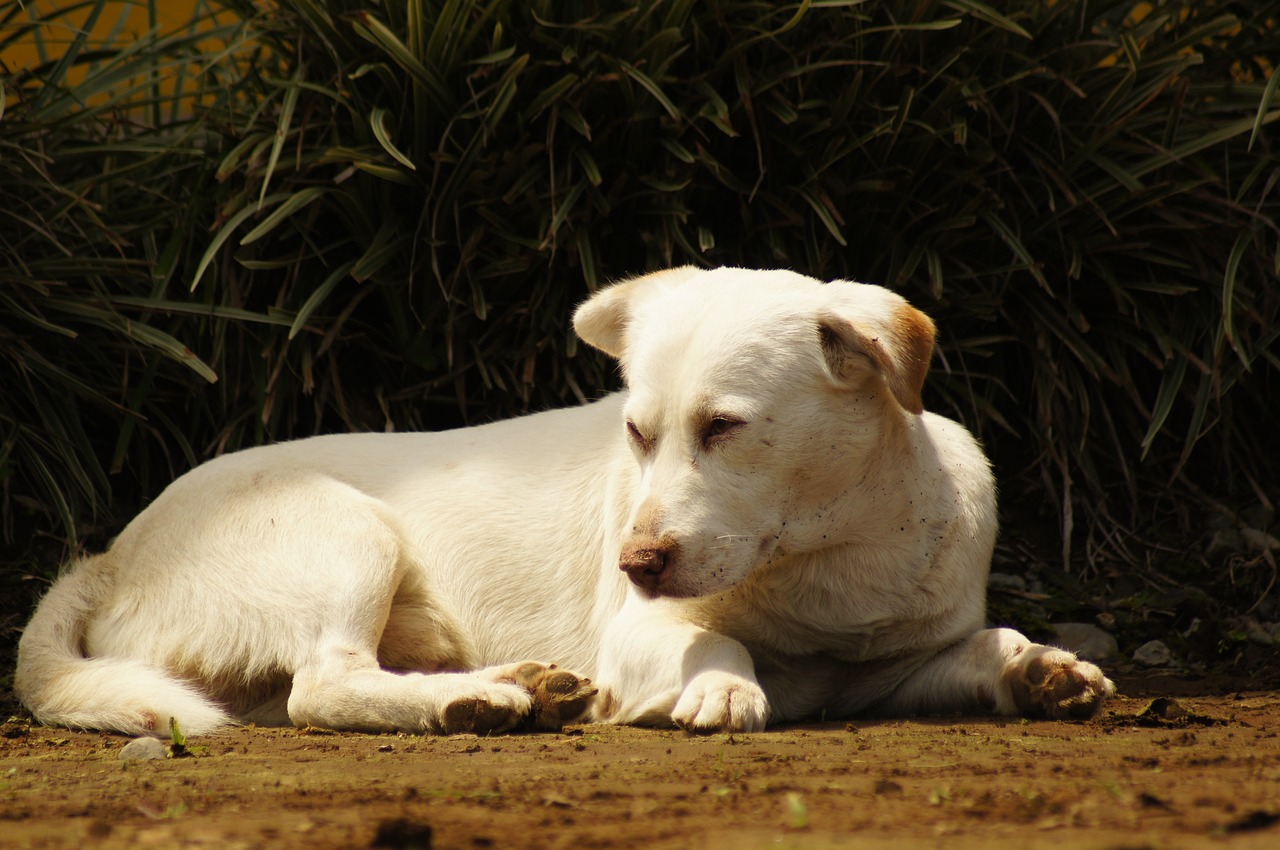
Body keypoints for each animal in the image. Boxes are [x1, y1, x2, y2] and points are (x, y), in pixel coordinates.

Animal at [12, 267, 1111, 737]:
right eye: (637, 432)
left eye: (723, 428)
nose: (635, 562)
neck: (830, 568)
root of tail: (107, 554)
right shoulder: (639, 629)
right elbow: (714, 636)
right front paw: (723, 686)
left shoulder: (887, 669)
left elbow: (981, 646)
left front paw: (1041, 671)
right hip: (346, 533)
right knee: (320, 688)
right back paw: (480, 702)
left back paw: (520, 687)